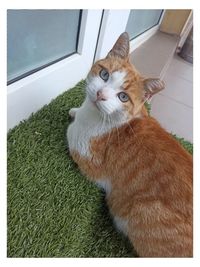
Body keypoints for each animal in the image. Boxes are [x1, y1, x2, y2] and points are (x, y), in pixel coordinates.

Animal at [67, 32, 192, 258]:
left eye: (123, 97)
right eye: (104, 74)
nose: (100, 94)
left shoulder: (88, 156)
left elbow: (70, 132)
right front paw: (74, 110)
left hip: (142, 211)